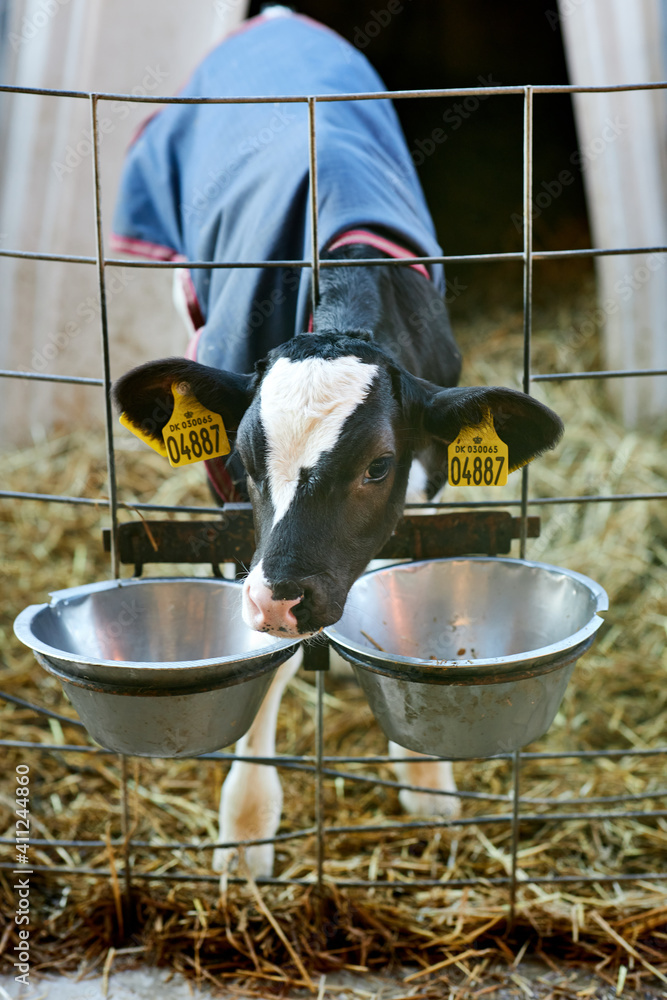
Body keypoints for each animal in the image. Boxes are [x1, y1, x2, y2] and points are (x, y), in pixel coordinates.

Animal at [111, 7, 564, 876]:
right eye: (244, 460)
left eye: (378, 464)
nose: (280, 599)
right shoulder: (233, 519)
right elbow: (264, 659)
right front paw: (245, 829)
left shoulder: (425, 483)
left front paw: (426, 781)